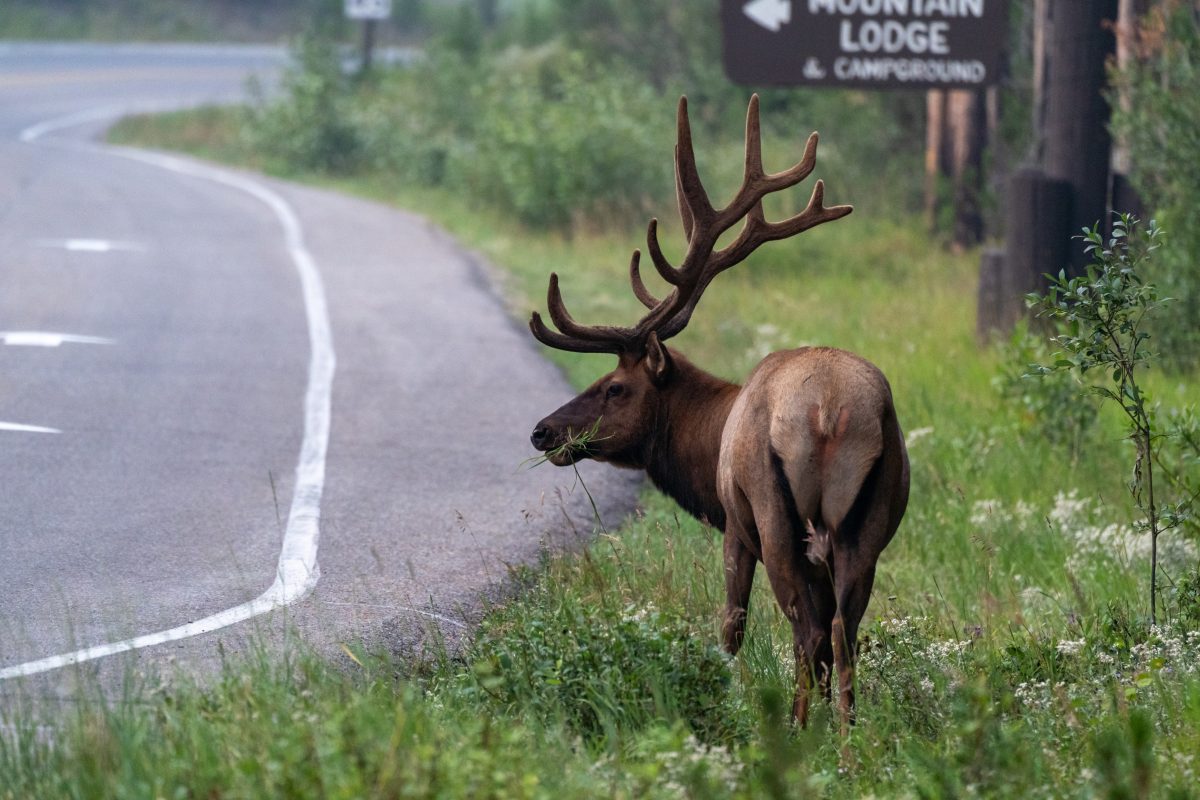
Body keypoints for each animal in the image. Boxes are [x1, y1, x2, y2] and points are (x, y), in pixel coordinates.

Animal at [528, 95, 907, 734]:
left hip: (774, 512)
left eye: (613, 387)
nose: (542, 430)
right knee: (843, 632)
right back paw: (847, 738)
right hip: (869, 519)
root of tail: (830, 412)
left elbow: (730, 625)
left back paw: (798, 730)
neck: (707, 452)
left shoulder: (733, 521)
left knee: (808, 629)